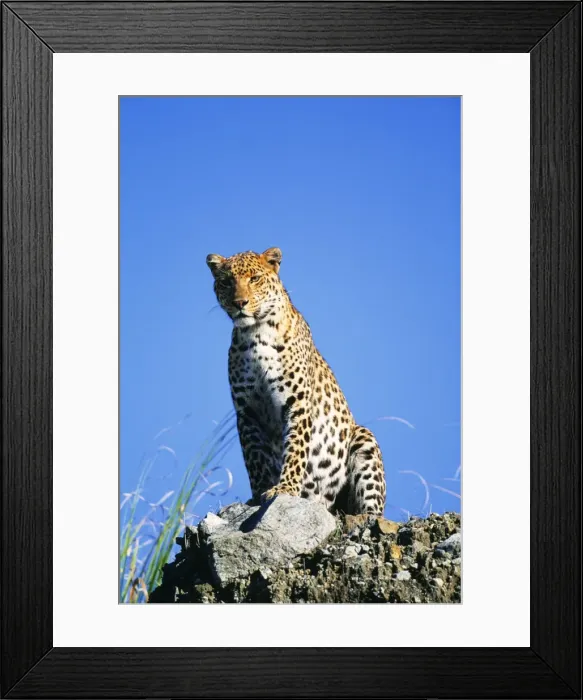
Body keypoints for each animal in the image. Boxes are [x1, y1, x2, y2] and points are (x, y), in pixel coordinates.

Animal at [206, 246, 386, 515]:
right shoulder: (247, 411)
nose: (239, 303)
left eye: (254, 279)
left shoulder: (297, 403)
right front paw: (259, 493)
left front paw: (285, 488)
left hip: (364, 440)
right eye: (227, 282)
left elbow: (296, 450)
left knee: (369, 509)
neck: (256, 334)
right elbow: (254, 456)